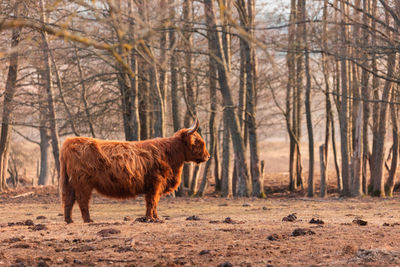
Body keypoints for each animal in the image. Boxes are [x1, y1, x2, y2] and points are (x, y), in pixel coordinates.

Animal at [60, 119, 209, 224]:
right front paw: (150, 218)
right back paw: (88, 220)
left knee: (68, 199)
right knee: (82, 200)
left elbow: (154, 203)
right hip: (83, 183)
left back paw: (69, 220)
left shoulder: (154, 186)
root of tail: (70, 142)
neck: (169, 154)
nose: (208, 156)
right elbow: (152, 201)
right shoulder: (156, 183)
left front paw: (155, 218)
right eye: (199, 143)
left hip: (70, 182)